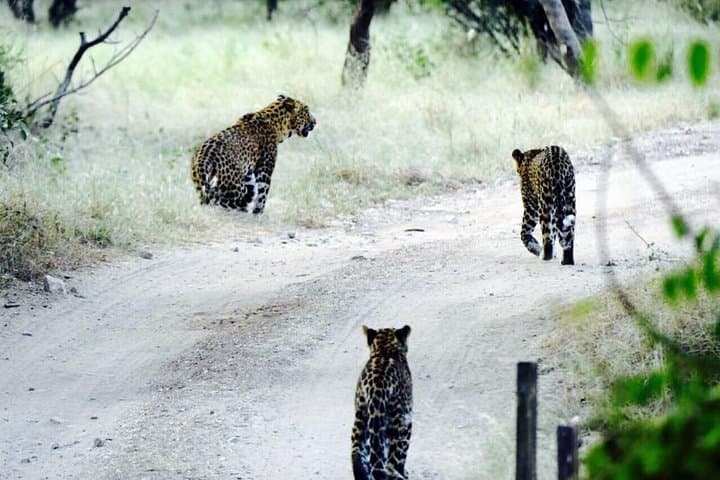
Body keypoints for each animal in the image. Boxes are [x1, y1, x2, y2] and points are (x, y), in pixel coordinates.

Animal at [352, 325, 413, 480]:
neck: (384, 350)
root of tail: (375, 386)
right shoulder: (407, 421)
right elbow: (402, 455)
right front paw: (404, 472)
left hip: (361, 419)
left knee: (357, 452)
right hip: (397, 423)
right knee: (391, 461)